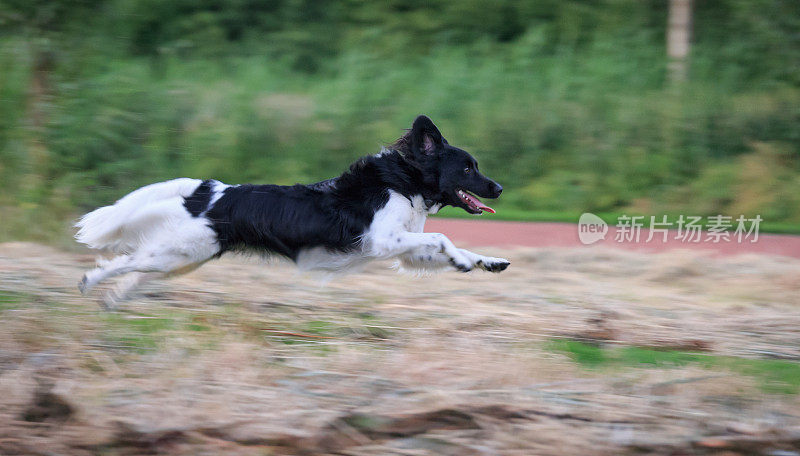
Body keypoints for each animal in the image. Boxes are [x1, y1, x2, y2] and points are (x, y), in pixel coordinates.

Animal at [78, 116, 510, 304]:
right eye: (467, 168)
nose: (499, 188)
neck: (404, 180)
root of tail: (210, 191)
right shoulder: (383, 240)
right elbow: (442, 235)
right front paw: (462, 260)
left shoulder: (404, 250)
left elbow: (448, 245)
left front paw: (487, 262)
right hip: (178, 252)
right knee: (125, 262)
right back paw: (88, 283)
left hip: (184, 259)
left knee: (137, 272)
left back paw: (113, 300)